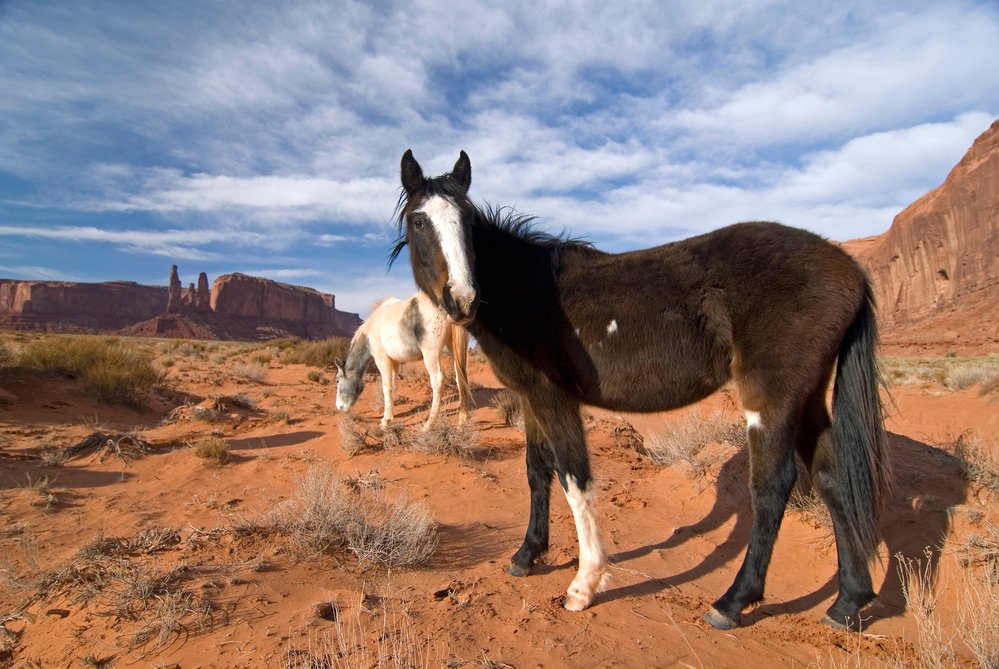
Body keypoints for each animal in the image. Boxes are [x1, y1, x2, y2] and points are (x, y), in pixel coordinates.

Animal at [336, 290, 472, 428]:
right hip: (453, 349)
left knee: (437, 380)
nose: (340, 407)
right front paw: (390, 416)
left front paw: (385, 421)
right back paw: (462, 419)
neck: (370, 330)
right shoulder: (395, 362)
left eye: (337, 380)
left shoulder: (381, 359)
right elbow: (393, 385)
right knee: (460, 377)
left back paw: (429, 423)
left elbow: (386, 387)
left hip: (430, 354)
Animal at [390, 149, 892, 628]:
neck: (528, 291)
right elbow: (537, 473)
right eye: (420, 221)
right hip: (807, 399)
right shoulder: (530, 400)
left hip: (771, 400)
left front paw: (585, 584)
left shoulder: (554, 399)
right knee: (832, 481)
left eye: (467, 222)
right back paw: (848, 603)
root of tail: (849, 268)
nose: (463, 299)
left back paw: (732, 603)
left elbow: (575, 478)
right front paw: (527, 555)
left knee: (772, 487)